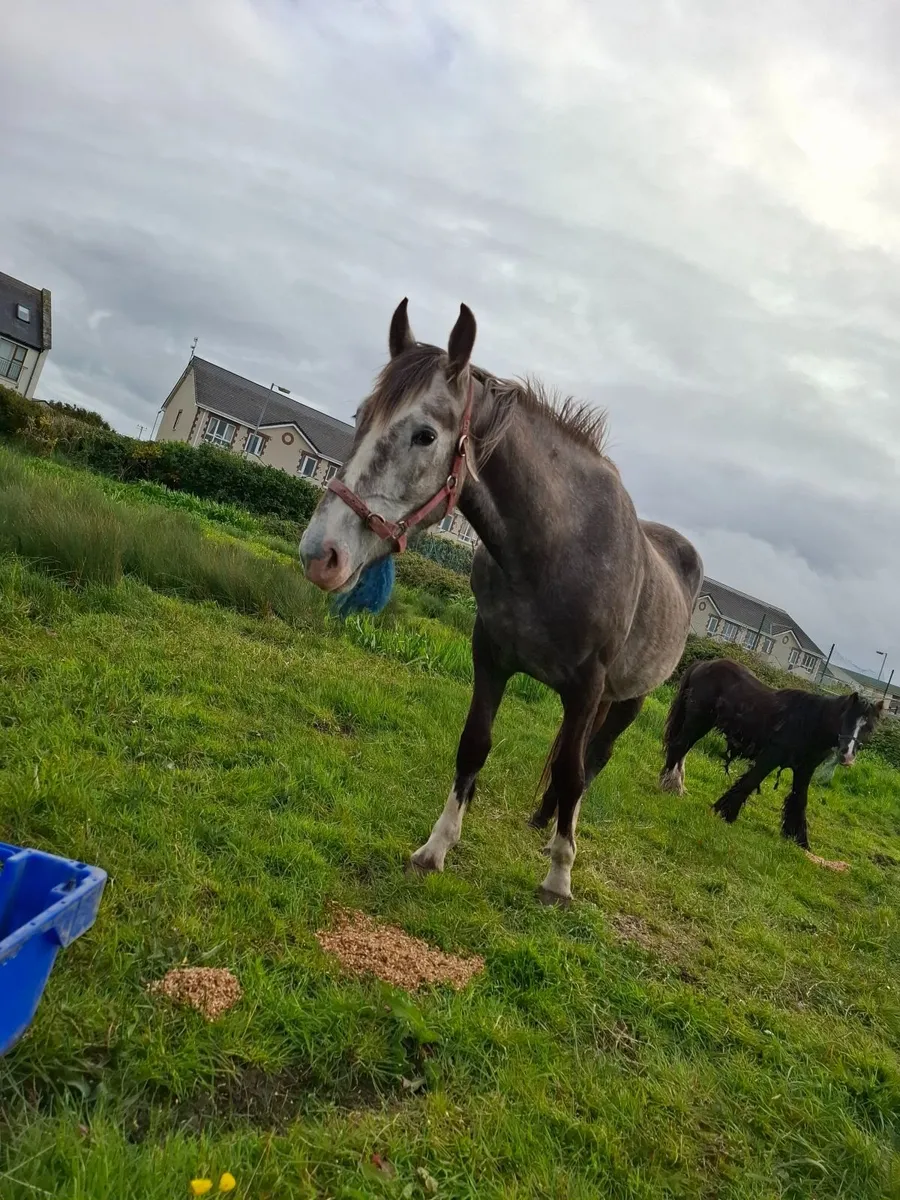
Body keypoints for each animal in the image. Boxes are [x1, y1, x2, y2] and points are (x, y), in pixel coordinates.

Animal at [300, 299, 703, 904]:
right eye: (361, 415)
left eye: (424, 435)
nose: (321, 553)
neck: (553, 550)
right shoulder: (490, 656)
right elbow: (476, 745)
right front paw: (435, 850)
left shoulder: (586, 687)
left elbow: (572, 772)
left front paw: (559, 878)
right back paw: (543, 820)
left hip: (628, 698)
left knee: (592, 759)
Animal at [659, 657, 885, 867]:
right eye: (846, 719)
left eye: (869, 728)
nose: (847, 756)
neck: (809, 723)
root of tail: (703, 664)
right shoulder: (771, 756)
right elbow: (749, 782)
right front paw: (723, 812)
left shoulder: (804, 770)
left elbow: (799, 800)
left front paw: (799, 841)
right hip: (698, 720)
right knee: (678, 747)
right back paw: (670, 786)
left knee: (682, 751)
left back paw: (677, 786)